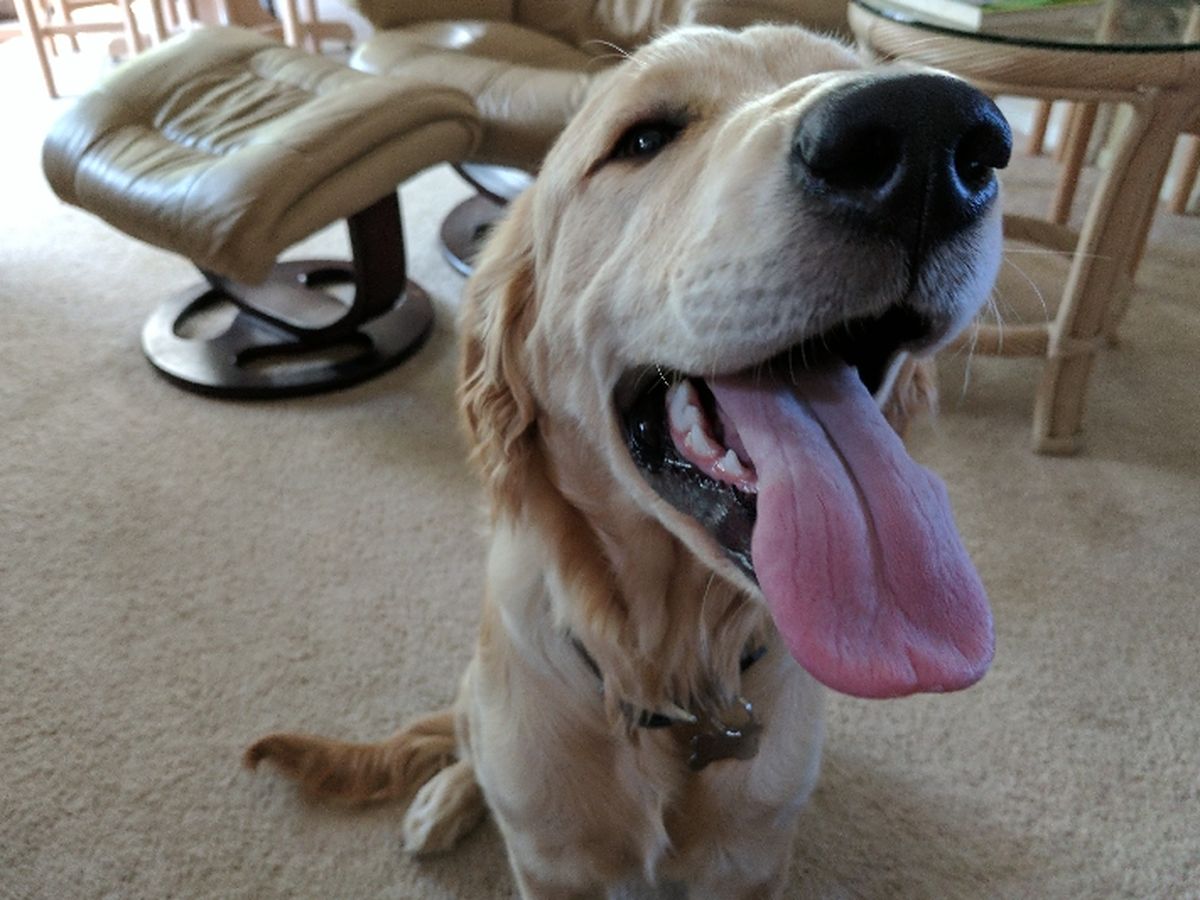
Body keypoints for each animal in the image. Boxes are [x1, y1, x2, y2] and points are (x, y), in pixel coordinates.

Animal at [246, 23, 1010, 898]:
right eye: (642, 139)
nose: (931, 131)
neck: (673, 680)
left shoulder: (754, 861)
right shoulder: (551, 868)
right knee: (466, 742)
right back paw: (445, 799)